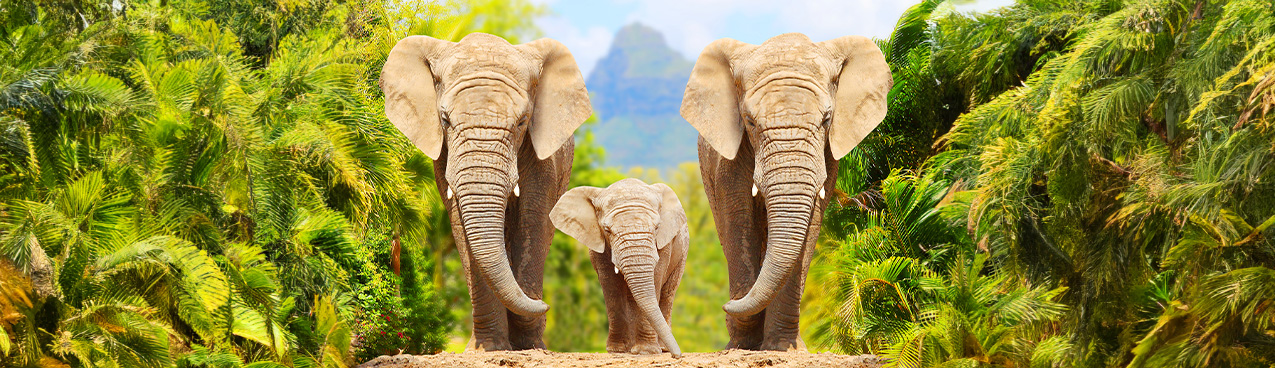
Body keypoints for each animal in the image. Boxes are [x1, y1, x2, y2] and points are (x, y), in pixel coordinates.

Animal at [377, 32, 591, 348]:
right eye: (445, 120)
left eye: (522, 122)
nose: (546, 305)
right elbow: (460, 226)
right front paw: (489, 348)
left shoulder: (544, 159)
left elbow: (533, 222)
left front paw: (529, 346)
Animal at [548, 178, 688, 356]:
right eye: (607, 230)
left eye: (657, 227)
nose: (678, 355)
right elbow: (611, 285)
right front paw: (617, 350)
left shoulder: (664, 243)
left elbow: (656, 279)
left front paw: (645, 352)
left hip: (682, 253)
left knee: (667, 293)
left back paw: (660, 348)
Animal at [683, 32, 892, 348]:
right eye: (749, 121)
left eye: (826, 119)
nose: (726, 305)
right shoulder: (728, 161)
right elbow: (738, 222)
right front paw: (743, 344)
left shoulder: (827, 157)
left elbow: (809, 227)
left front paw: (782, 347)